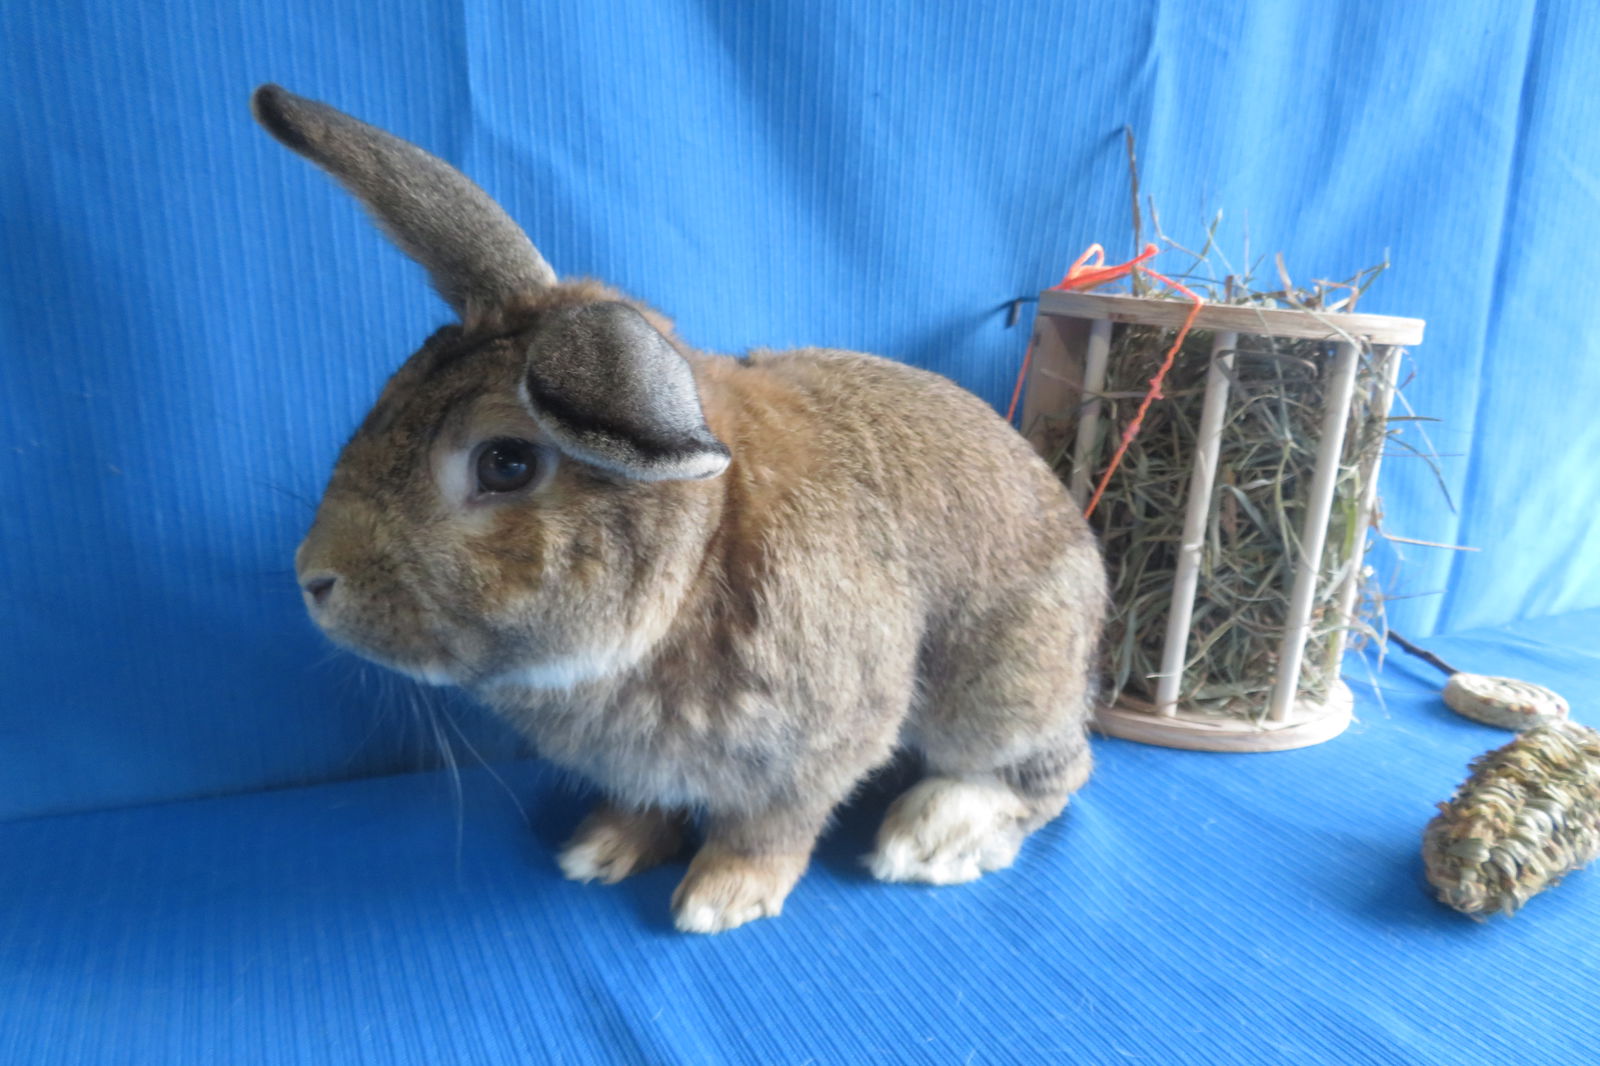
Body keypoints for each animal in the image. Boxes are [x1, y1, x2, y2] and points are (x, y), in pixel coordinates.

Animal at [252, 85, 1100, 928]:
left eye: (505, 463)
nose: (312, 580)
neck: (702, 554)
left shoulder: (821, 743)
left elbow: (772, 827)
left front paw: (720, 897)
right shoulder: (647, 767)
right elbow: (644, 806)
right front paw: (601, 851)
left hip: (999, 689)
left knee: (1055, 772)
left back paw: (931, 838)